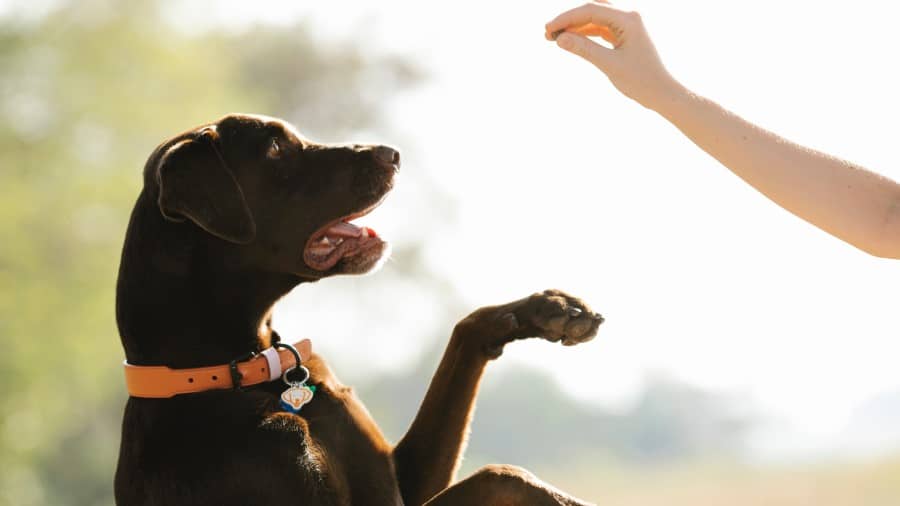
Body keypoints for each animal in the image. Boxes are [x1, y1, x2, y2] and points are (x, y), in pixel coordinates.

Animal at [114, 114, 604, 506]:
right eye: (275, 149)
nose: (392, 153)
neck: (245, 371)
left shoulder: (399, 477)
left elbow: (468, 333)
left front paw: (552, 308)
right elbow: (501, 474)